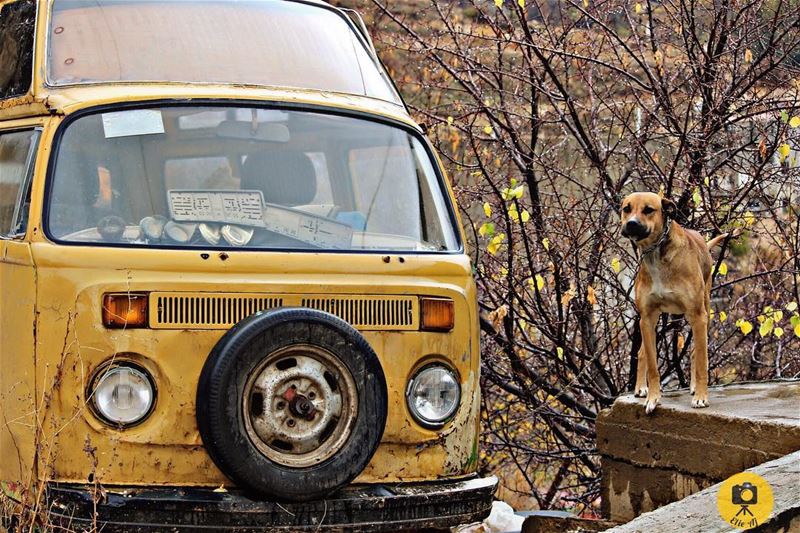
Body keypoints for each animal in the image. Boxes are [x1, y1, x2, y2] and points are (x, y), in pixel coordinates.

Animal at [620, 193, 728, 414]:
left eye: (648, 210)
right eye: (627, 208)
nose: (631, 223)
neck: (655, 253)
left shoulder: (698, 316)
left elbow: (702, 362)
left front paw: (701, 397)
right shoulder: (647, 319)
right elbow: (652, 365)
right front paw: (652, 398)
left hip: (703, 310)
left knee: (695, 352)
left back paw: (695, 388)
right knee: (642, 353)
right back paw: (640, 388)